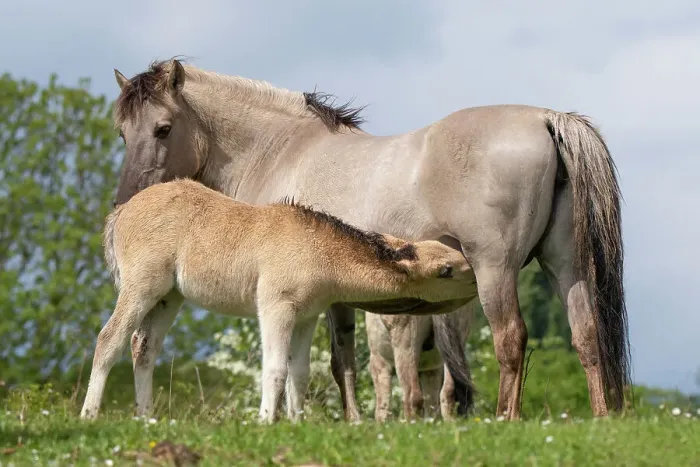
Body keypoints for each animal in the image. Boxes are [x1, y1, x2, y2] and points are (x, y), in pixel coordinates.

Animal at [79, 179, 475, 423]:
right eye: (445, 271)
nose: (476, 276)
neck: (318, 248)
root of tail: (122, 212)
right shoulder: (276, 309)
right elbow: (275, 368)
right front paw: (267, 419)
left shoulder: (307, 316)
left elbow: (298, 373)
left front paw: (297, 422)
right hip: (141, 287)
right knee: (109, 339)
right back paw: (89, 414)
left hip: (169, 298)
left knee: (143, 347)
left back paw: (146, 416)